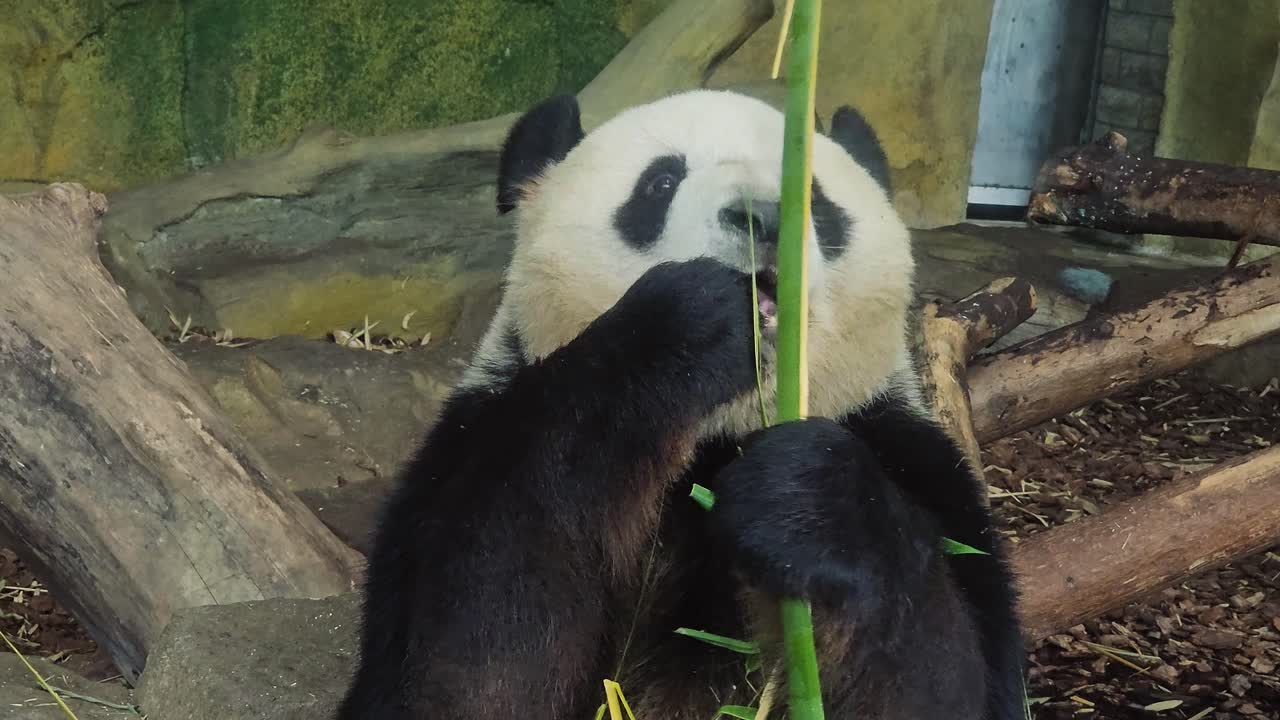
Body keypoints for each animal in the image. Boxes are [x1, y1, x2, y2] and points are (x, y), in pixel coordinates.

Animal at [338, 89, 1025, 720]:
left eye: (816, 197)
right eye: (661, 182)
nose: (761, 217)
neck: (718, 438)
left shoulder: (914, 460)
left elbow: (944, 682)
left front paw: (804, 497)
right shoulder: (466, 452)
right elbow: (477, 655)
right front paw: (688, 321)